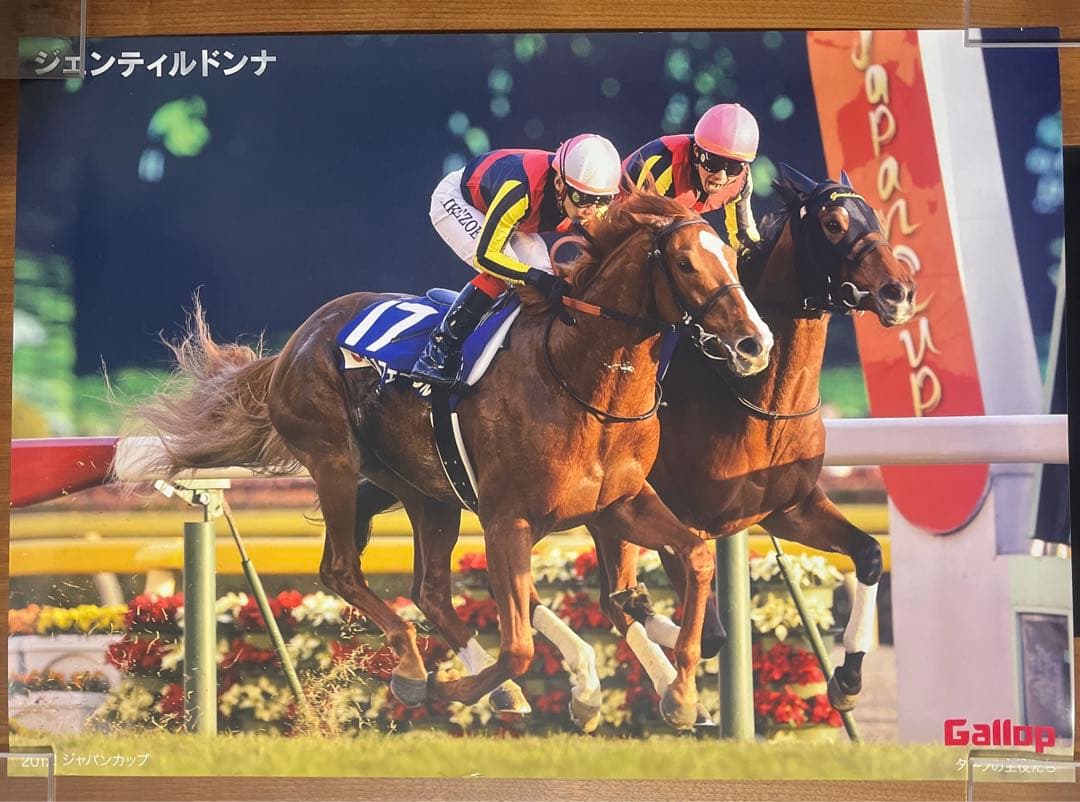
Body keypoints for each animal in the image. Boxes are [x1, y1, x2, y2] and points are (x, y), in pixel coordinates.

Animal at [128, 188, 774, 731]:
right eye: (686, 264)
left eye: (733, 258)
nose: (754, 342)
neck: (582, 380)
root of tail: (297, 341)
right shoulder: (507, 519)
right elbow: (520, 644)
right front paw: (455, 690)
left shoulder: (618, 504)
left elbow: (690, 558)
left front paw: (682, 692)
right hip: (335, 460)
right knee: (341, 569)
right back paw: (418, 671)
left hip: (424, 491)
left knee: (431, 588)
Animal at [351, 164, 917, 720]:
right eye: (833, 224)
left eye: (875, 216)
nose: (900, 292)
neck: (750, 396)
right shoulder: (658, 513)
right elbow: (691, 625)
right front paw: (670, 674)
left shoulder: (785, 508)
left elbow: (868, 554)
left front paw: (846, 678)